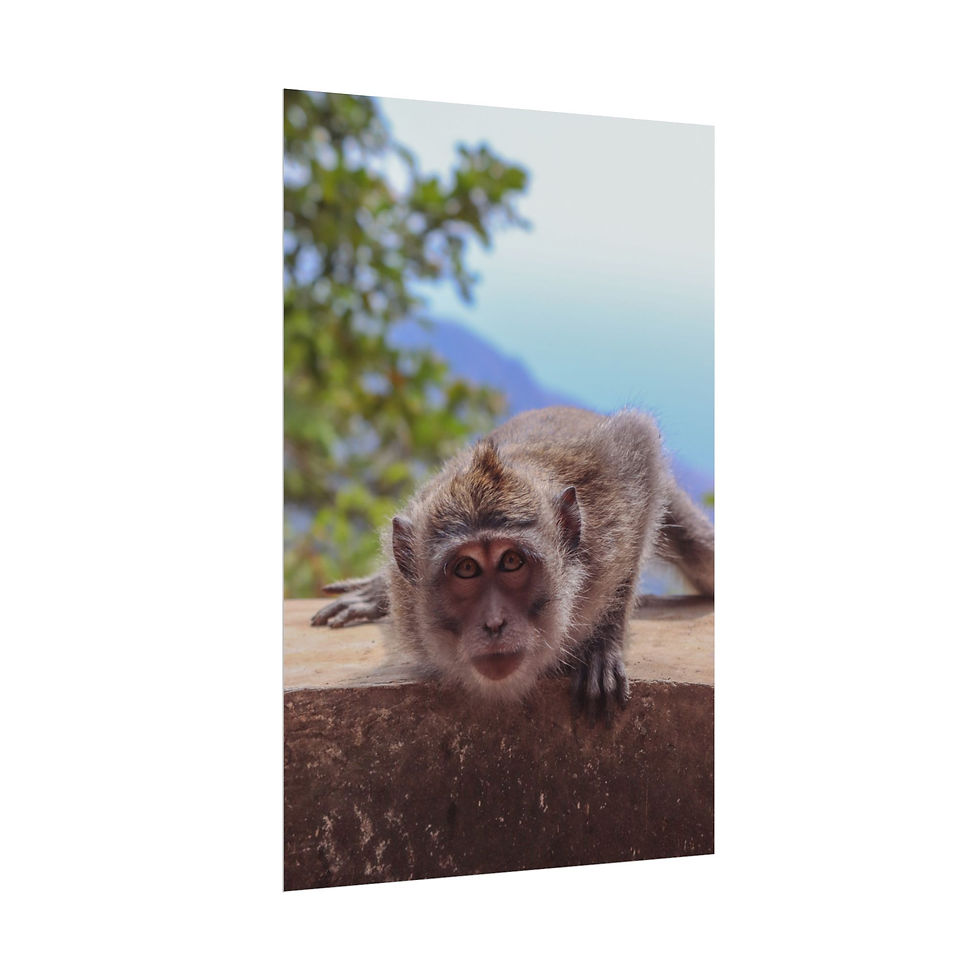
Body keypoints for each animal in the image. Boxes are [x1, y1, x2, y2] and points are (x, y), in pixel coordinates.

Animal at [311, 406, 713, 719]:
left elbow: (640, 445)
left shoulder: (609, 504)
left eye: (511, 561)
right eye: (467, 569)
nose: (494, 624)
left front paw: (601, 644)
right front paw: (377, 589)